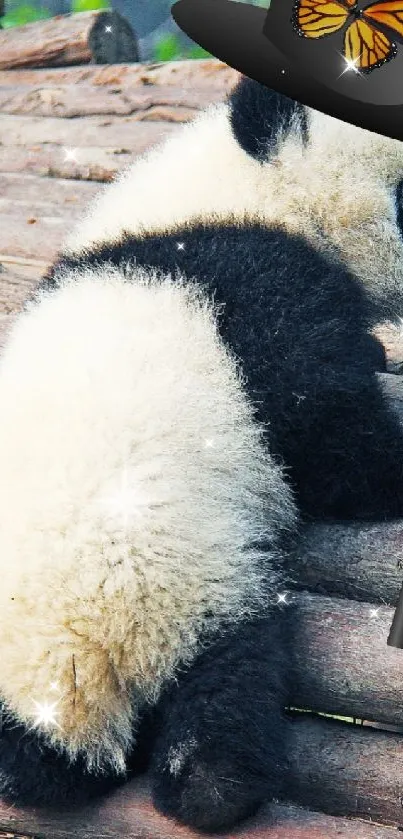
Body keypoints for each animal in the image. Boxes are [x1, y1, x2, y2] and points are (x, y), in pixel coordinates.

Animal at [0, 76, 403, 833]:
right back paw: (216, 785)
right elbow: (336, 448)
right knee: (226, 680)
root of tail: (73, 664)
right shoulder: (256, 290)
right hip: (187, 578)